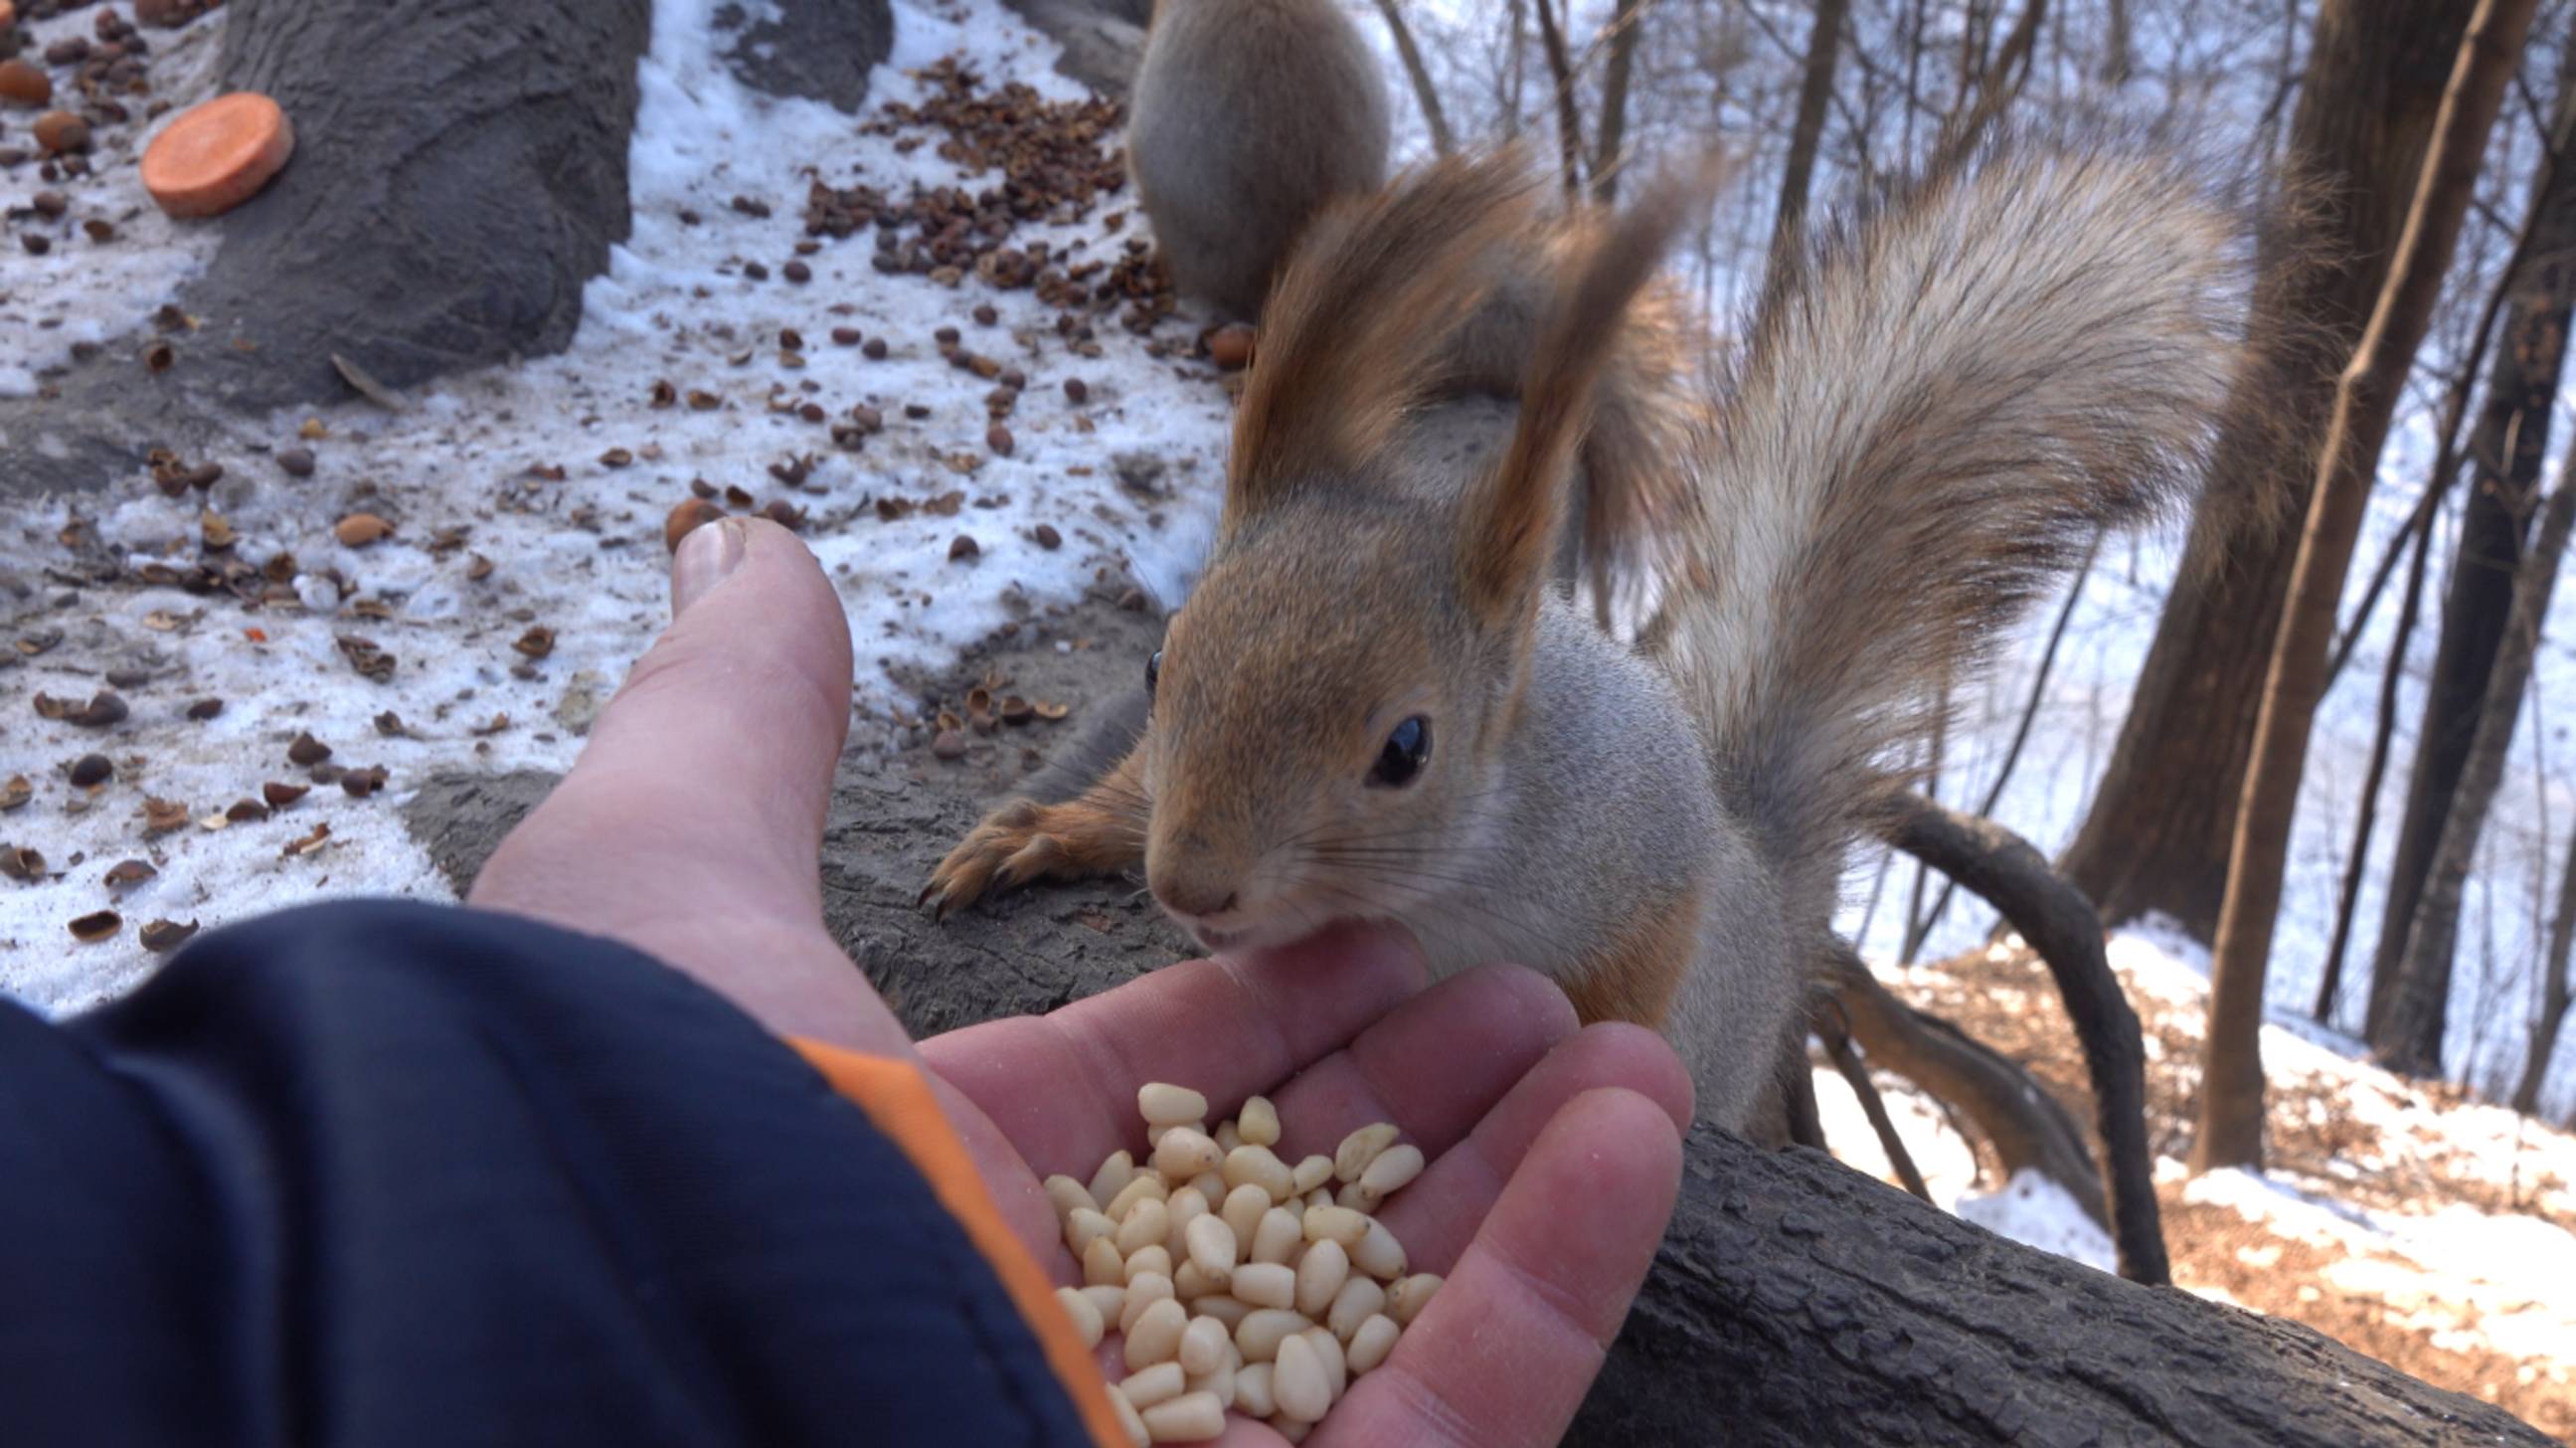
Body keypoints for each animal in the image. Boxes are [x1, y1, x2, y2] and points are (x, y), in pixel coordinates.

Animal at [927, 140, 2256, 1123]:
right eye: (1158, 665)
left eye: (1405, 748)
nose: (1192, 885)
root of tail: (1772, 893)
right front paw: (1046, 831)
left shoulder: (1635, 859)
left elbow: (1624, 986)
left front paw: (1561, 1042)